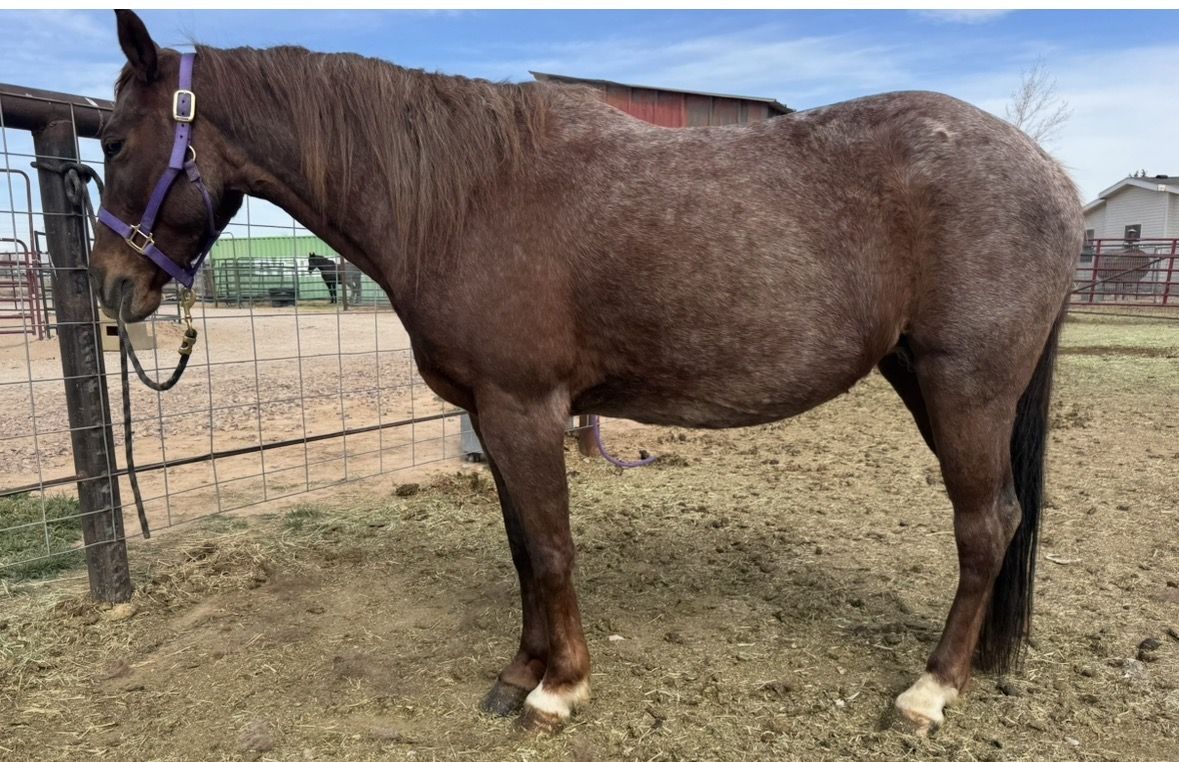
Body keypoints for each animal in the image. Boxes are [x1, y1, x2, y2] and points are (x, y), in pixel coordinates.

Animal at [90, 10, 1082, 735]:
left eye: (116, 140)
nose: (110, 286)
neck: (467, 197)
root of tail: (1051, 176)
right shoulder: (494, 415)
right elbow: (523, 550)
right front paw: (518, 671)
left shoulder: (524, 408)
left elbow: (553, 549)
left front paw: (558, 689)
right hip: (918, 376)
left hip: (964, 388)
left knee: (985, 526)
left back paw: (929, 691)